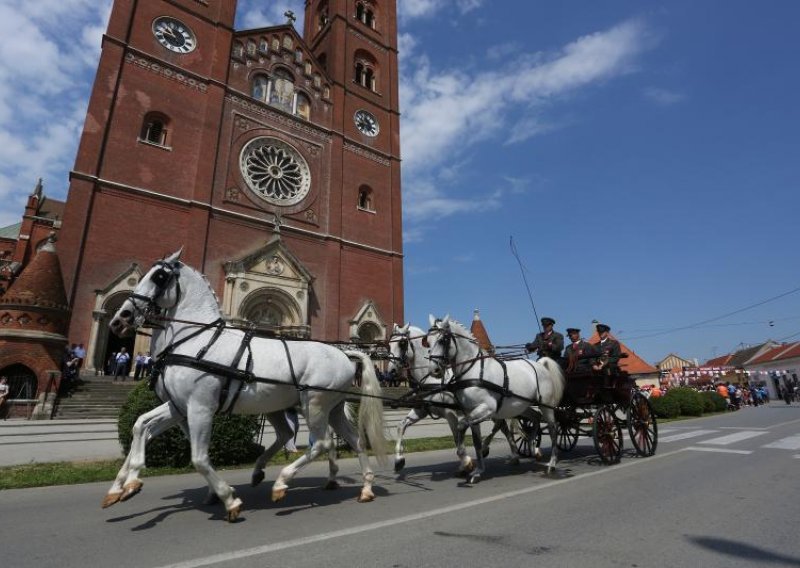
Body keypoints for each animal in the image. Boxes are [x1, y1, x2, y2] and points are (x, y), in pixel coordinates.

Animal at [104, 251, 386, 520]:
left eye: (159, 277)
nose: (120, 318)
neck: (197, 340)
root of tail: (343, 353)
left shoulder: (200, 407)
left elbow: (199, 458)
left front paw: (228, 498)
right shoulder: (179, 406)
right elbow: (141, 425)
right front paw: (123, 484)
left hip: (314, 405)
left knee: (321, 443)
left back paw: (282, 482)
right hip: (325, 408)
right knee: (352, 440)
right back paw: (365, 487)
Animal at [388, 324, 524, 474]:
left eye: (402, 343)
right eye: (389, 344)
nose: (391, 371)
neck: (431, 380)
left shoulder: (450, 413)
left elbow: (456, 437)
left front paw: (466, 462)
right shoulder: (421, 411)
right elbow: (401, 426)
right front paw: (399, 460)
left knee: (501, 426)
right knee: (503, 427)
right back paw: (511, 455)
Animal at [428, 316, 564, 484]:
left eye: (442, 340)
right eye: (427, 341)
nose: (434, 370)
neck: (474, 370)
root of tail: (541, 365)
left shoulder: (487, 408)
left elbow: (461, 426)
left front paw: (464, 456)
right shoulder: (471, 413)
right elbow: (476, 442)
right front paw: (477, 470)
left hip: (547, 406)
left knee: (553, 429)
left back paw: (551, 463)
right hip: (522, 406)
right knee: (536, 418)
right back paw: (532, 445)